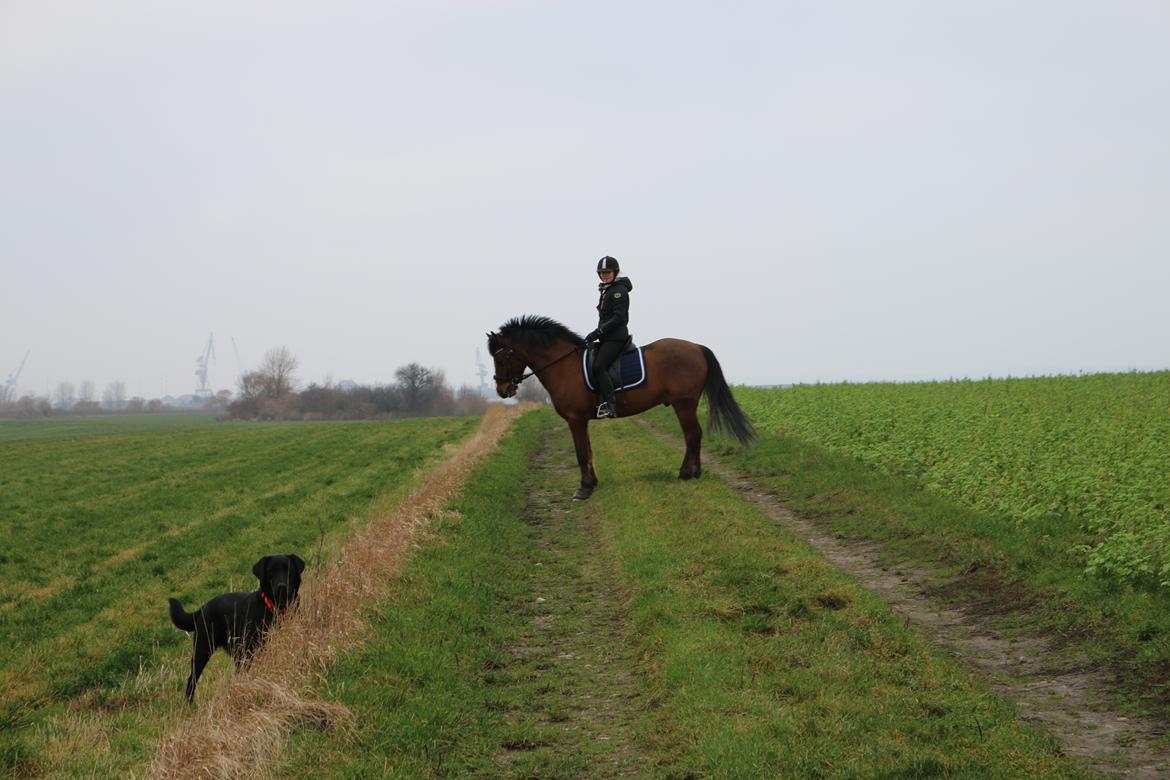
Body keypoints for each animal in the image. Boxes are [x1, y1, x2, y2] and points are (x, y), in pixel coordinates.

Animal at [169, 554, 308, 701]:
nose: (281, 586)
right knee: (192, 679)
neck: (276, 609)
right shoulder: (251, 651)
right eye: (271, 571)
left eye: (289, 570)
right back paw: (189, 703)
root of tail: (203, 607)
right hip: (202, 649)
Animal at [486, 315, 753, 500]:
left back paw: (686, 474)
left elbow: (581, 453)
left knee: (692, 434)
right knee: (693, 435)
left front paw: (583, 489)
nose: (503, 390)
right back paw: (693, 473)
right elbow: (588, 452)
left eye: (502, 356)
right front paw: (592, 483)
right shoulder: (581, 420)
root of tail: (697, 347)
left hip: (684, 403)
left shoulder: (575, 419)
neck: (564, 366)